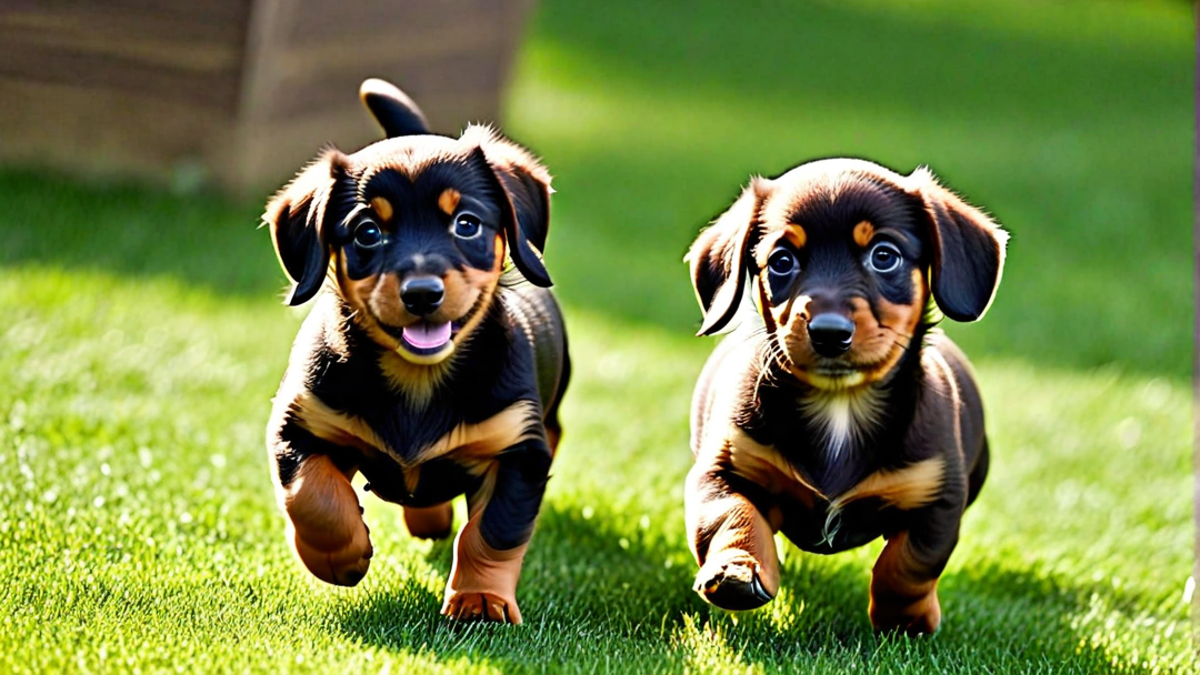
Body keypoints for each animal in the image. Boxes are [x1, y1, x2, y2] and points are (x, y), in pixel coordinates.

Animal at [261, 77, 566, 619]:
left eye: (466, 223)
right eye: (368, 232)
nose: (422, 294)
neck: (417, 380)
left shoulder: (519, 454)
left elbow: (493, 534)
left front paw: (480, 600)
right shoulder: (298, 427)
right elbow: (313, 497)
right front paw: (340, 555)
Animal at [686, 157, 1003, 629]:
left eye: (884, 255)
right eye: (781, 260)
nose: (829, 333)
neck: (840, 405)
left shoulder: (937, 503)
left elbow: (907, 566)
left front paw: (904, 620)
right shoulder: (720, 472)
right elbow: (732, 517)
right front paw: (738, 569)